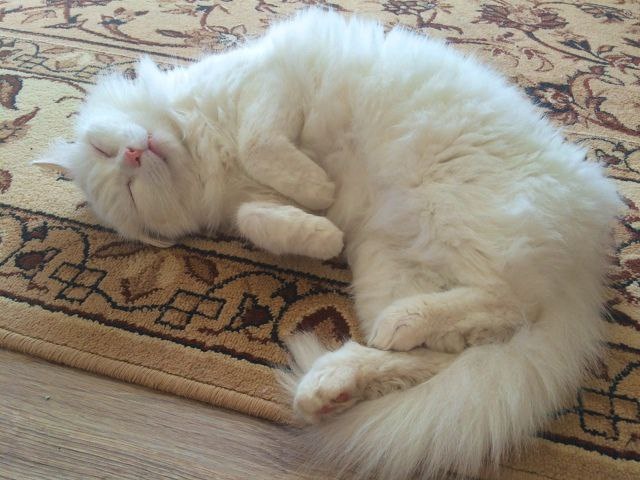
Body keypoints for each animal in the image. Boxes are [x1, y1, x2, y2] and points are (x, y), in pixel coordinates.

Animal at [35, 8, 621, 480]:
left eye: (105, 148)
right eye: (129, 191)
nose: (134, 156)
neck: (204, 149)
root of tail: (587, 267)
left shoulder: (269, 83)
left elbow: (260, 142)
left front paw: (318, 189)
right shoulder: (249, 197)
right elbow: (259, 214)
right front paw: (320, 230)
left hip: (452, 214)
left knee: (504, 305)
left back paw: (372, 346)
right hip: (390, 265)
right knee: (444, 347)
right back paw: (329, 386)